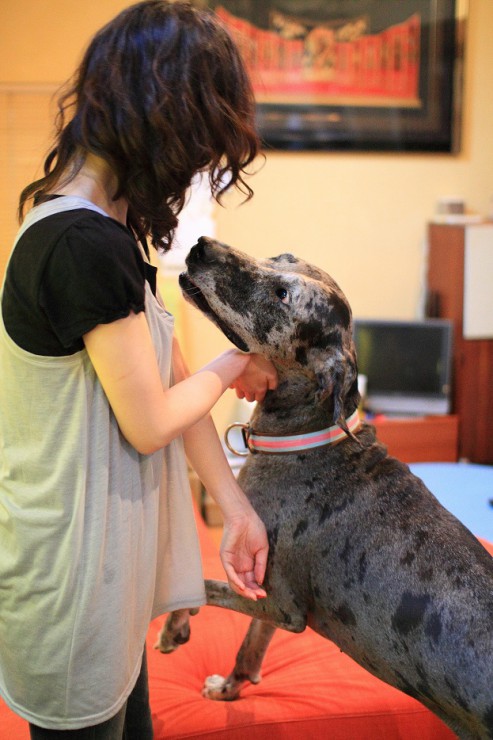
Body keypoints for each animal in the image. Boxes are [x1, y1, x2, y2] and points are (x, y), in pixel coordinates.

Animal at [157, 237, 493, 739]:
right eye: (280, 257)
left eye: (282, 296)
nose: (201, 245)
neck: (307, 436)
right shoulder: (275, 602)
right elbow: (249, 648)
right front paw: (230, 688)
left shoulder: (278, 601)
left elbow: (202, 584)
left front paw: (175, 624)